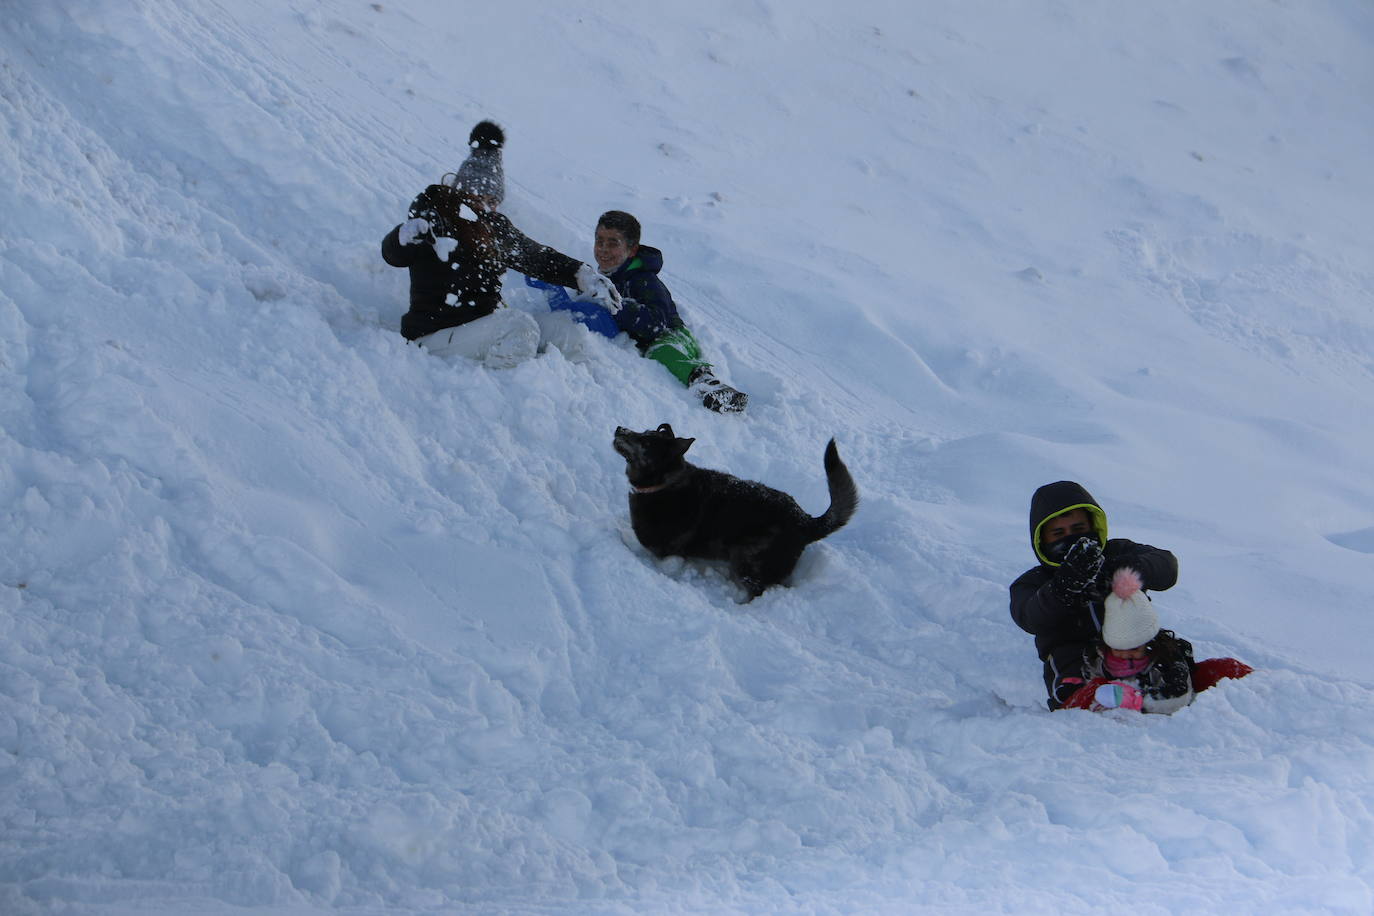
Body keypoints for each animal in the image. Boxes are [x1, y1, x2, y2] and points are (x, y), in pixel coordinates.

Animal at [610, 425, 851, 601]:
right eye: (644, 431)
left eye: (646, 442)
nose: (620, 428)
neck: (664, 484)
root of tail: (805, 521)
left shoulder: (658, 549)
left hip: (747, 561)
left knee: (758, 590)